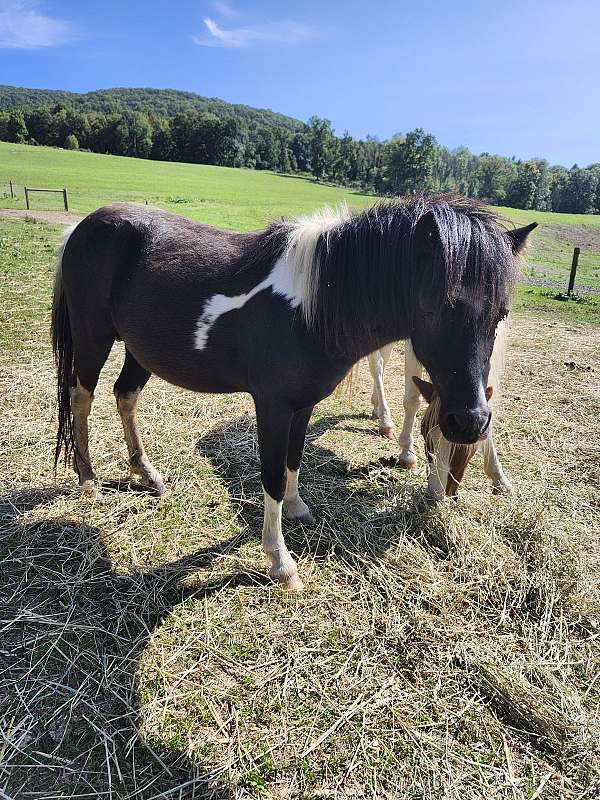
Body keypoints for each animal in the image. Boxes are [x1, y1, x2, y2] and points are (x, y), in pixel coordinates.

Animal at [366, 322, 510, 496]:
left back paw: (377, 408)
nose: (438, 491)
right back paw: (385, 421)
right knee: (376, 365)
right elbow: (412, 400)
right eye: (424, 432)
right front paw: (407, 453)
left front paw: (498, 477)